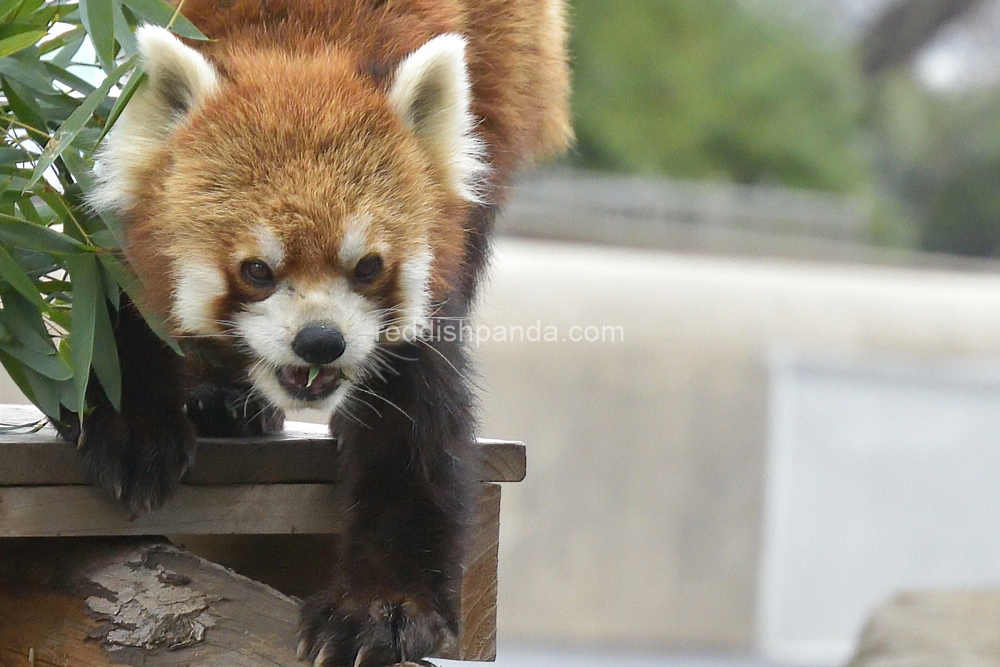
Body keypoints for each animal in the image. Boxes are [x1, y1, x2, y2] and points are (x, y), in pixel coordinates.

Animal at [68, 1, 572, 667]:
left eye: (367, 267)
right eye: (258, 270)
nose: (320, 342)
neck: (301, 43)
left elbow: (414, 420)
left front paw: (385, 607)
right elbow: (113, 297)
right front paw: (132, 428)